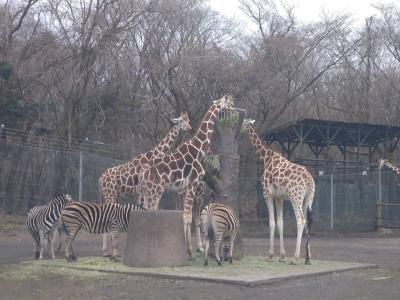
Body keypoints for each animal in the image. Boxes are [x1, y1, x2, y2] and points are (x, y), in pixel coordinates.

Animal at [97, 112, 191, 255]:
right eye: (182, 121)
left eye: (188, 119)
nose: (190, 127)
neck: (153, 155)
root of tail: (100, 179)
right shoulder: (142, 192)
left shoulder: (142, 193)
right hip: (110, 194)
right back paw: (107, 252)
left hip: (106, 195)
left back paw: (106, 250)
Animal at [140, 96, 234, 258]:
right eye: (228, 104)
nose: (233, 109)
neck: (199, 147)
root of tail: (143, 173)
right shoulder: (191, 185)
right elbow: (187, 217)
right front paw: (189, 251)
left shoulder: (184, 189)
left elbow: (187, 217)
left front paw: (190, 249)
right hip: (156, 191)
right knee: (151, 211)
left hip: (148, 192)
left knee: (146, 211)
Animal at [241, 118, 316, 264]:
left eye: (243, 123)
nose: (240, 130)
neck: (266, 157)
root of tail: (309, 181)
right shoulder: (279, 197)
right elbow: (280, 223)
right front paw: (281, 256)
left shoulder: (267, 194)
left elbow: (271, 222)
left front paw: (270, 255)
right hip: (308, 199)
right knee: (308, 222)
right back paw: (307, 258)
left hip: (295, 197)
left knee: (301, 220)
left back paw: (295, 258)